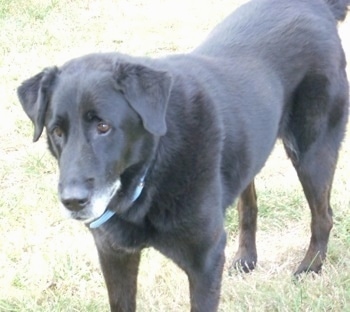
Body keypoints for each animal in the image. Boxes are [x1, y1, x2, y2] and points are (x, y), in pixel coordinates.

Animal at [17, 0, 350, 310]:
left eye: (103, 126)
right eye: (56, 131)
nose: (73, 202)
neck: (152, 171)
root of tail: (316, 6)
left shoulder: (205, 262)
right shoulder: (114, 255)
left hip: (311, 153)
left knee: (323, 217)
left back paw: (310, 267)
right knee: (249, 206)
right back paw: (246, 258)